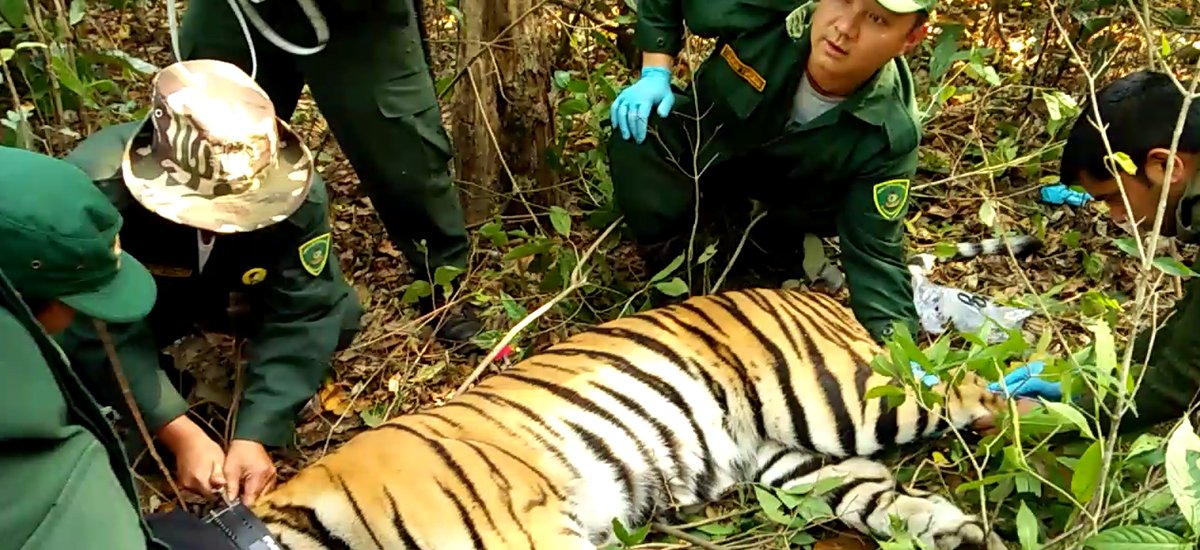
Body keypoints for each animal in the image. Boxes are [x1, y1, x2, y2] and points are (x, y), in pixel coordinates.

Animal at [251, 287, 1010, 550]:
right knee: (878, 493)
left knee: (975, 385)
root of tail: (814, 290)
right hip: (793, 463)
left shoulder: (525, 537)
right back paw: (960, 532)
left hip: (846, 398)